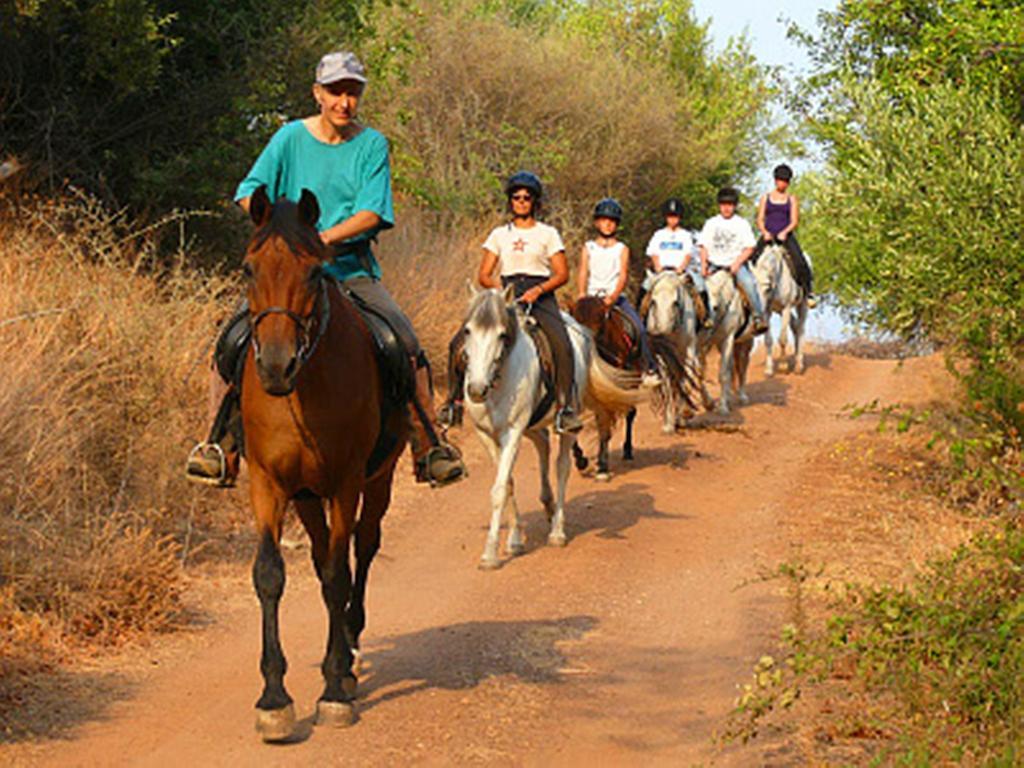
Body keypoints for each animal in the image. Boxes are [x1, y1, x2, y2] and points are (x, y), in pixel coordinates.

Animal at [238, 186, 403, 741]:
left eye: (314, 273)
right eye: (248, 268)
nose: (274, 364)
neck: (302, 388)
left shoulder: (346, 481)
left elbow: (336, 575)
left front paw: (333, 688)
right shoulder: (267, 483)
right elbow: (270, 574)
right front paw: (273, 698)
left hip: (376, 481)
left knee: (362, 548)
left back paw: (349, 651)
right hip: (306, 497)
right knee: (318, 552)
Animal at [462, 286, 638, 569]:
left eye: (502, 334)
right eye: (467, 330)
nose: (477, 389)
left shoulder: (512, 431)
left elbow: (499, 489)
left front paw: (489, 555)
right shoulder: (486, 435)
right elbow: (507, 483)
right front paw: (515, 539)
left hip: (568, 418)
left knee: (561, 466)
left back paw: (557, 530)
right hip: (533, 425)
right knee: (543, 445)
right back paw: (547, 505)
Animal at [753, 243, 806, 376]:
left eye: (767, 288)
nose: (759, 308)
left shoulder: (786, 307)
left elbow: (782, 338)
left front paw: (783, 366)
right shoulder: (768, 311)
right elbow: (768, 340)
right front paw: (769, 369)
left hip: (802, 305)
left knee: (801, 329)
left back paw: (799, 365)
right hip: (779, 310)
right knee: (795, 326)